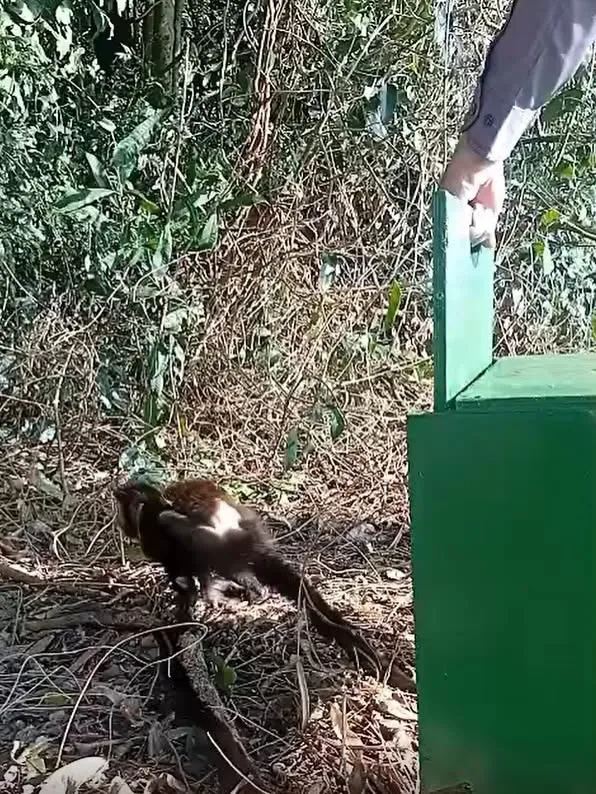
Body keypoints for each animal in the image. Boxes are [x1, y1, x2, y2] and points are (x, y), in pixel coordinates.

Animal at [113, 477, 383, 678]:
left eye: (122, 514)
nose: (121, 524)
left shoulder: (153, 534)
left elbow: (178, 568)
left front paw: (193, 596)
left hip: (218, 542)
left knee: (183, 533)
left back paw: (228, 590)